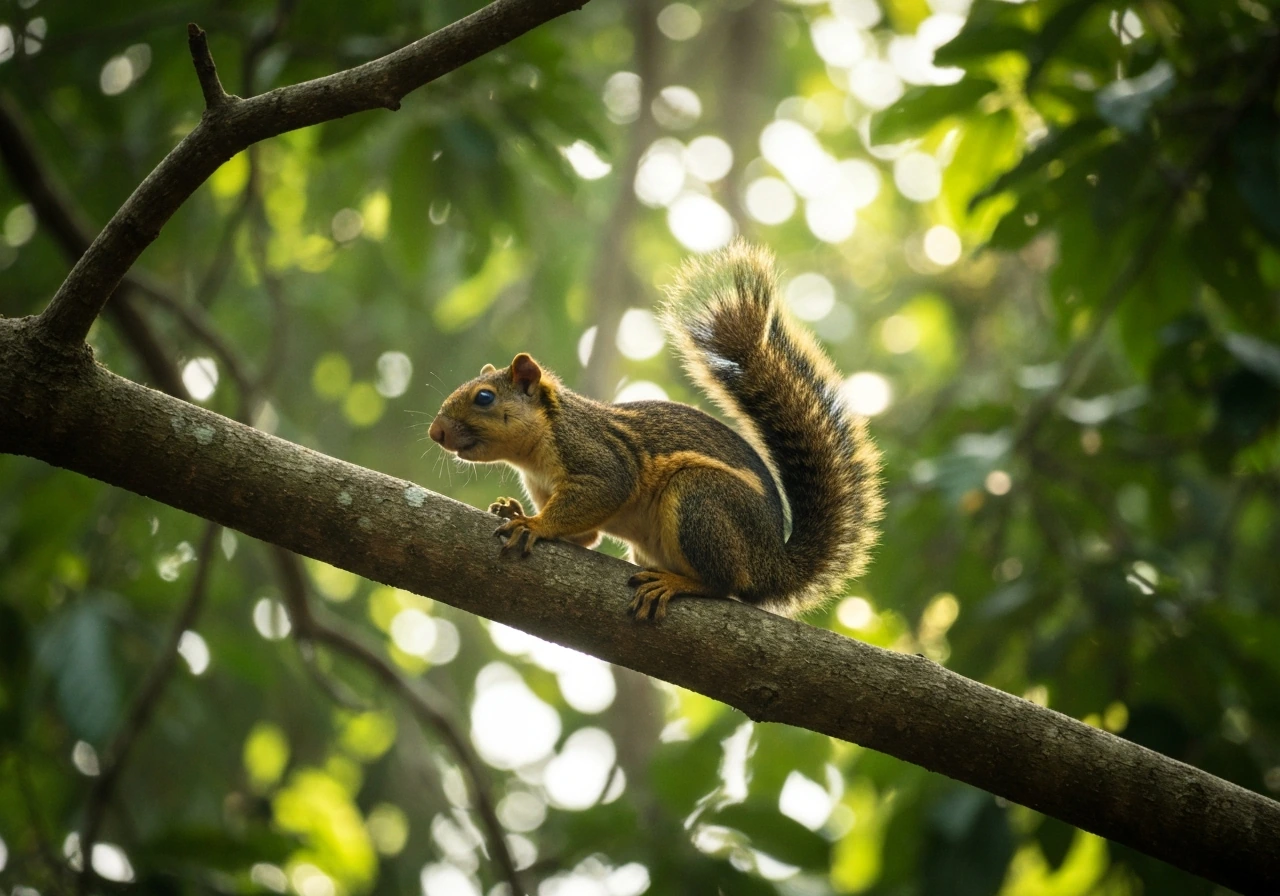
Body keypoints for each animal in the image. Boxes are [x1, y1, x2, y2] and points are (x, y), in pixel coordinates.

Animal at [428, 241, 882, 622]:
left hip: (702, 500)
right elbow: (586, 535)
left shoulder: (596, 454)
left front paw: (534, 525)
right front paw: (513, 509)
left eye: (484, 397)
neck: (534, 451)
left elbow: (606, 488)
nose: (436, 433)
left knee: (725, 584)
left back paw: (677, 583)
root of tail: (771, 565)